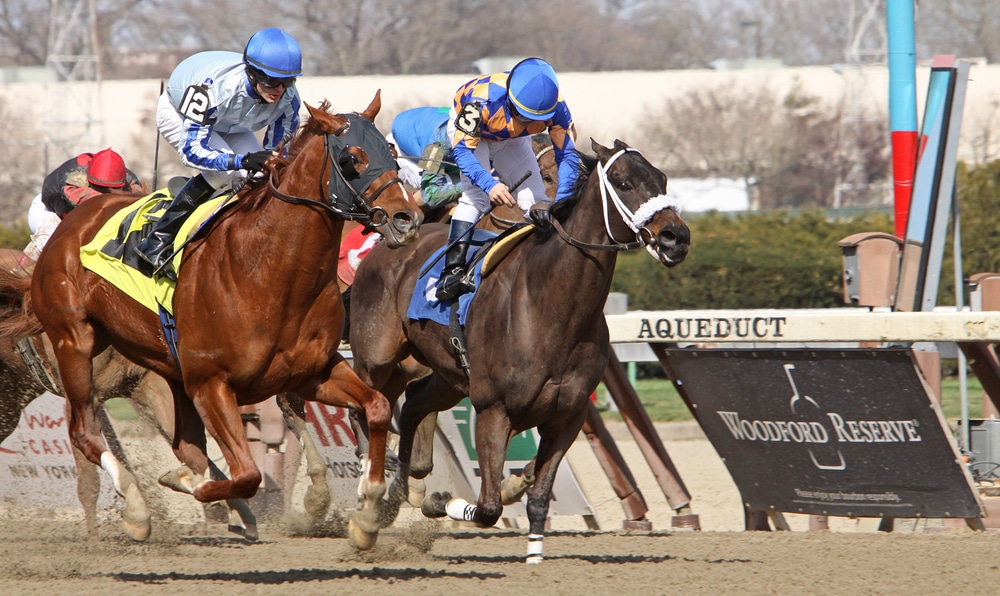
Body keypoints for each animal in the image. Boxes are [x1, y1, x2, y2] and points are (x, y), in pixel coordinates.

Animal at [0, 93, 422, 548]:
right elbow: (246, 474)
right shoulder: (210, 383)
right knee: (84, 431)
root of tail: (72, 224)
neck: (268, 270)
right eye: (352, 158)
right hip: (73, 344)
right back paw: (136, 508)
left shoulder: (312, 372)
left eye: (391, 151)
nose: (407, 219)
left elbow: (377, 407)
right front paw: (192, 488)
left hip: (149, 373)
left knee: (183, 444)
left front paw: (367, 512)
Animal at [350, 141, 688, 564]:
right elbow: (489, 506)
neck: (551, 307)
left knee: (412, 404)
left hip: (450, 376)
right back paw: (369, 499)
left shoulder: (567, 417)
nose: (676, 236)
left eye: (662, 179)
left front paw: (534, 554)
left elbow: (539, 497)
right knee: (366, 410)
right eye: (623, 182)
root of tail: (391, 243)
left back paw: (399, 491)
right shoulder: (493, 409)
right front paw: (441, 502)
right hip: (377, 359)